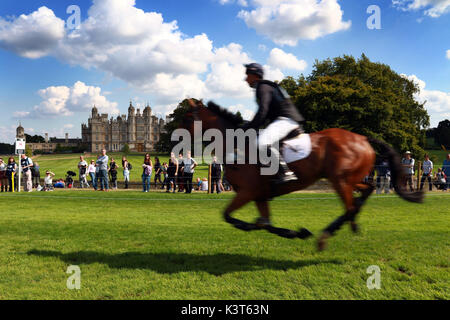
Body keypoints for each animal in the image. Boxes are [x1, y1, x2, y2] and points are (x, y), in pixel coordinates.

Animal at [181, 100, 424, 250]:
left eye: (186, 118)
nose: (176, 137)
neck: (236, 146)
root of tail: (363, 138)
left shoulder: (248, 192)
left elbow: (231, 217)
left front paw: (289, 231)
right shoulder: (259, 195)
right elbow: (265, 223)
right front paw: (295, 232)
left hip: (340, 180)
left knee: (351, 204)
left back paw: (330, 233)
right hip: (349, 179)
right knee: (365, 193)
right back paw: (349, 225)